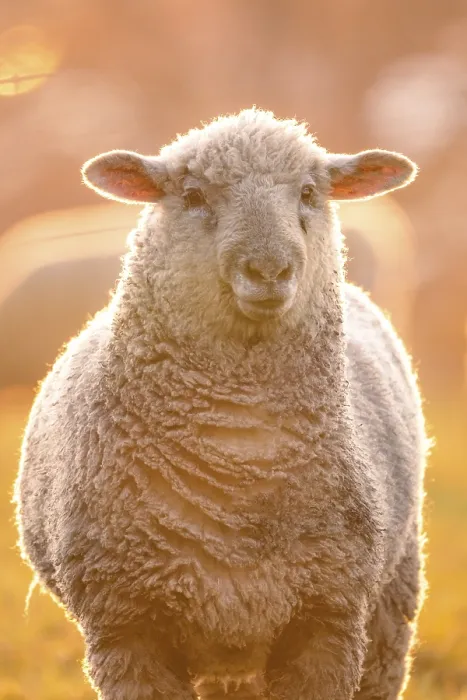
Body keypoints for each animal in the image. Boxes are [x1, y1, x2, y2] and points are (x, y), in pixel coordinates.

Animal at [15, 108, 428, 700]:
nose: (269, 270)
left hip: (391, 601)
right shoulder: (126, 627)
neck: (239, 463)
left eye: (309, 192)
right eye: (192, 194)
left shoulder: (328, 619)